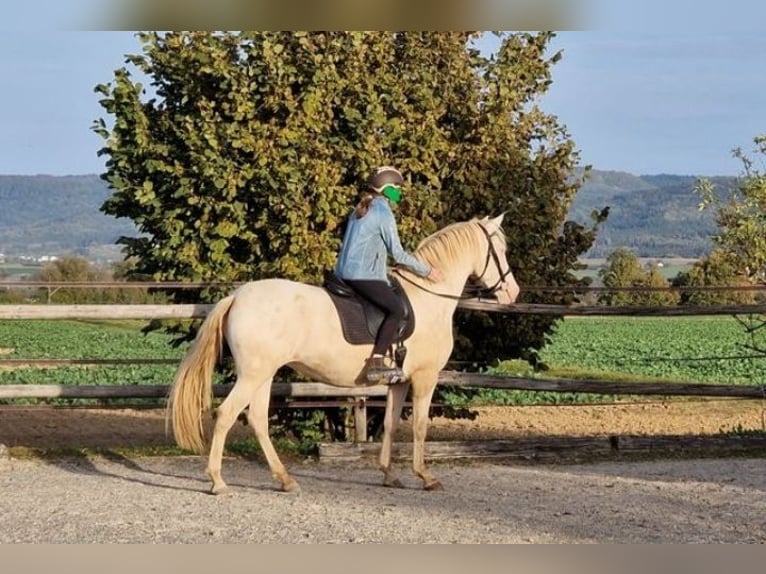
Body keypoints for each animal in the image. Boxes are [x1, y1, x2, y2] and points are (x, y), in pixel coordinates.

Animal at [168, 214, 520, 492]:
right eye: (500, 250)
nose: (513, 293)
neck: (428, 297)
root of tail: (238, 296)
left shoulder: (399, 381)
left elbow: (390, 424)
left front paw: (389, 474)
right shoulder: (425, 377)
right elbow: (419, 426)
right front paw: (426, 477)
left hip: (263, 375)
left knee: (256, 419)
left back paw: (285, 479)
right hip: (253, 375)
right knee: (226, 415)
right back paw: (218, 481)